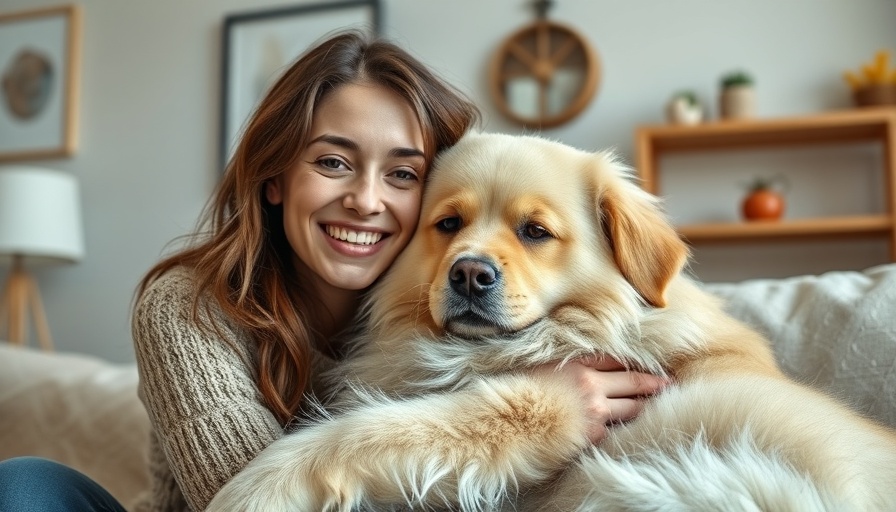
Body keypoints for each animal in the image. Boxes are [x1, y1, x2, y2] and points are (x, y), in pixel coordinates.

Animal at [208, 133, 896, 512]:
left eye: (535, 232)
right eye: (448, 224)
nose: (470, 274)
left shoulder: (536, 401)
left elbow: (377, 428)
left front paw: (255, 489)